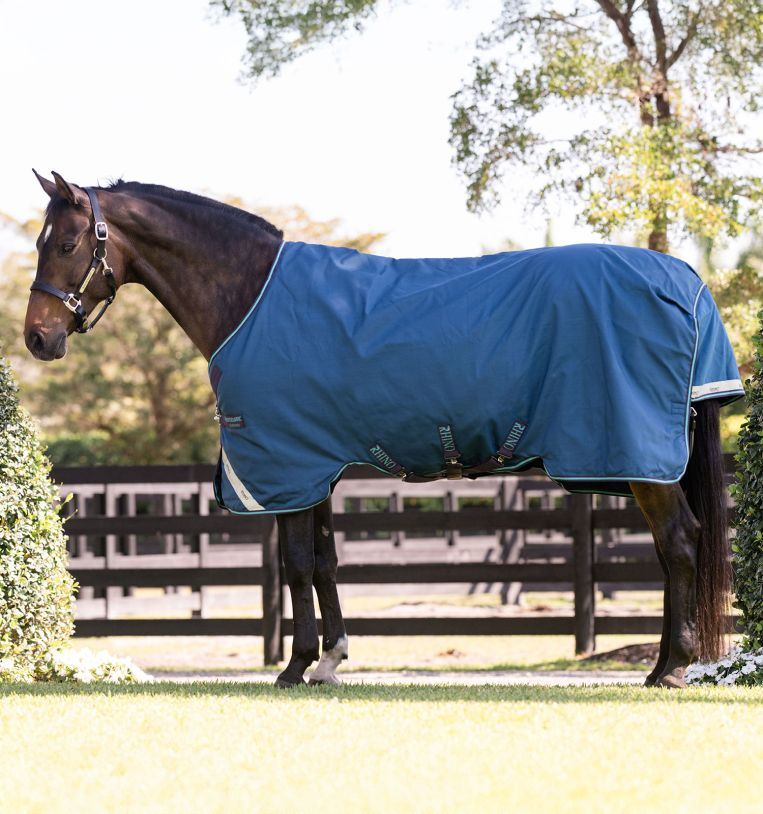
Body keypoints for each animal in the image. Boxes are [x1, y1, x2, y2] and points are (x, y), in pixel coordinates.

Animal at [24, 170, 738, 689]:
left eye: (66, 244)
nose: (36, 337)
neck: (250, 295)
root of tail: (688, 283)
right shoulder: (316, 468)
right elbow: (325, 561)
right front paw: (332, 659)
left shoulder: (286, 465)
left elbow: (296, 563)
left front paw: (294, 667)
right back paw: (665, 665)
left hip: (643, 462)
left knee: (679, 542)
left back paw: (670, 668)